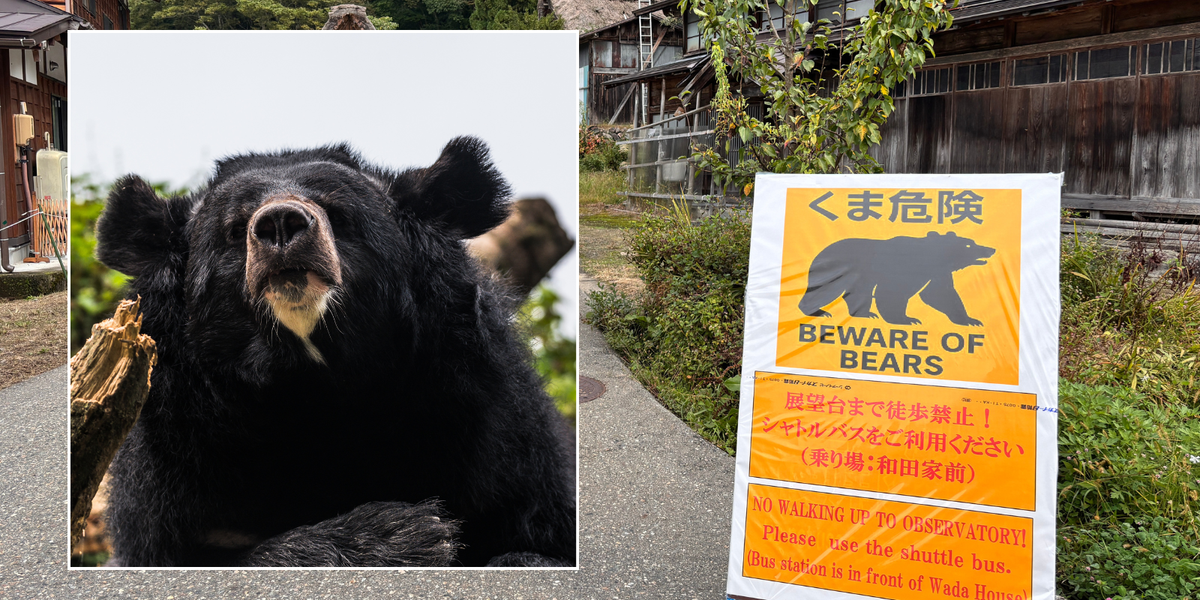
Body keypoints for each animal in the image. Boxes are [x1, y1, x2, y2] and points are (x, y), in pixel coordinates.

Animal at [93, 137, 576, 567]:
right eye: (234, 228)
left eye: (339, 215)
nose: (280, 223)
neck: (316, 386)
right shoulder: (175, 456)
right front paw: (409, 535)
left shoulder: (495, 429)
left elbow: (538, 533)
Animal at [797, 231, 996, 326]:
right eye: (969, 244)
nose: (991, 249)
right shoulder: (902, 267)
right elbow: (893, 293)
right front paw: (906, 319)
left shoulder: (937, 272)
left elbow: (940, 294)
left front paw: (971, 320)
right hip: (835, 269)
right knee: (824, 290)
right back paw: (818, 311)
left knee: (859, 292)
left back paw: (865, 313)